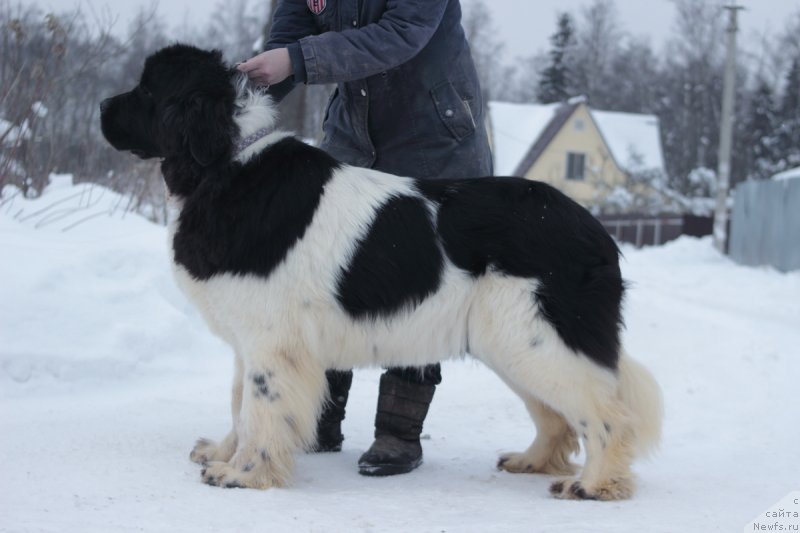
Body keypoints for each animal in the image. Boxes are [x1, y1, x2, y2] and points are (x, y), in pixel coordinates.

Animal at [100, 44, 664, 498]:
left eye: (148, 88)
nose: (102, 106)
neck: (226, 162)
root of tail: (596, 230)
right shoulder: (250, 335)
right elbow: (240, 399)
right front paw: (222, 452)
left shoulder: (272, 340)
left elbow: (260, 407)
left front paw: (242, 474)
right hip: (512, 343)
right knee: (558, 413)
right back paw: (533, 461)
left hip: (537, 338)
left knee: (608, 414)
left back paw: (594, 484)